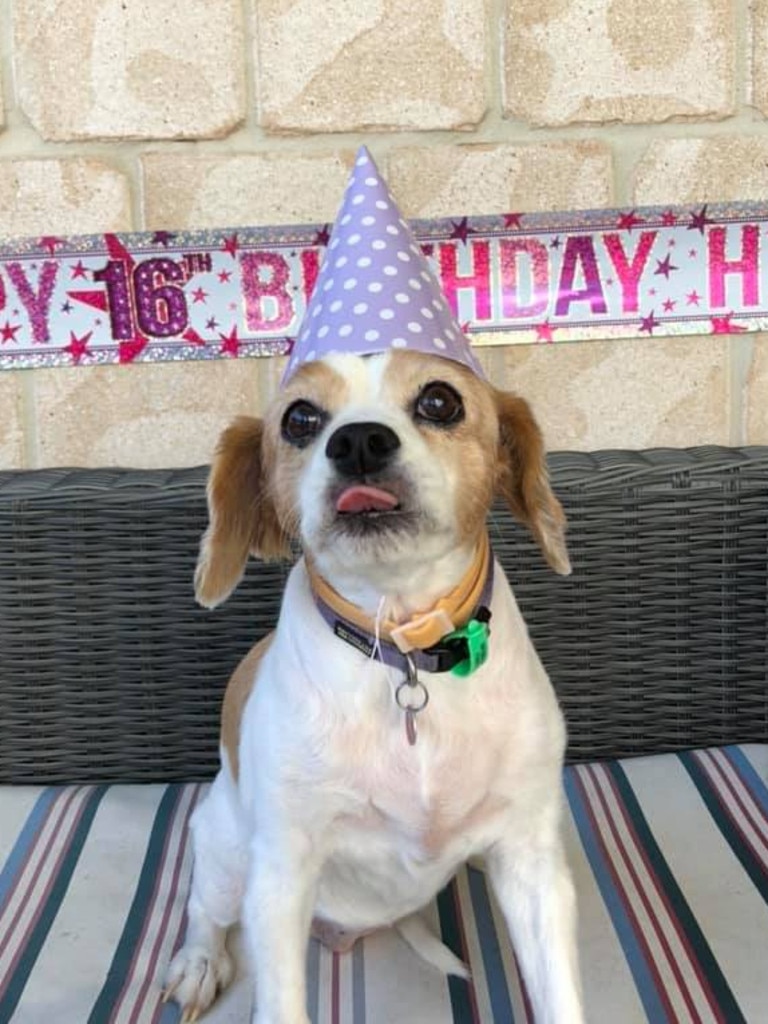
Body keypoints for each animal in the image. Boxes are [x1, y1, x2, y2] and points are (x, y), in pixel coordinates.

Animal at [162, 348, 581, 1019]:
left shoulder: (532, 861)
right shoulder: (281, 875)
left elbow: (560, 994)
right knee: (205, 910)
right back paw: (199, 963)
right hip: (226, 851)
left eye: (440, 400)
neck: (402, 645)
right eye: (300, 418)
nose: (358, 440)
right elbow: (279, 1000)